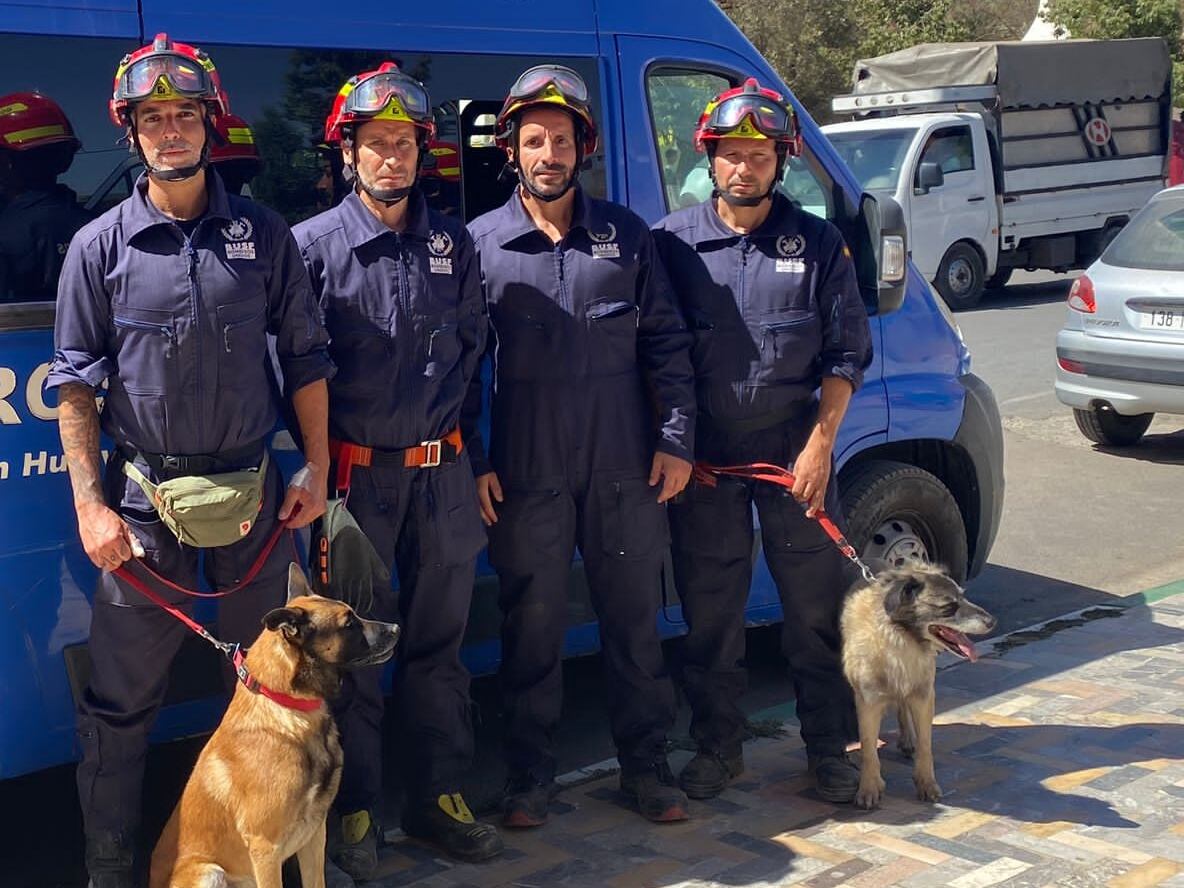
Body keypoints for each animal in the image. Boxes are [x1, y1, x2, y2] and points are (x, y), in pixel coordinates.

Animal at [146, 565, 397, 885]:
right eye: (349, 623)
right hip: (209, 872)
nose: (396, 628)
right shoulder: (266, 849)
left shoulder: (314, 836)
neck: (289, 708)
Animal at [838, 565, 994, 809]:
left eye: (963, 596)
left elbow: (925, 746)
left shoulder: (924, 695)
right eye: (949, 607)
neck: (901, 639)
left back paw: (908, 739)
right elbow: (869, 749)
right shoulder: (868, 701)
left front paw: (926, 783)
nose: (992, 621)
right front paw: (869, 787)